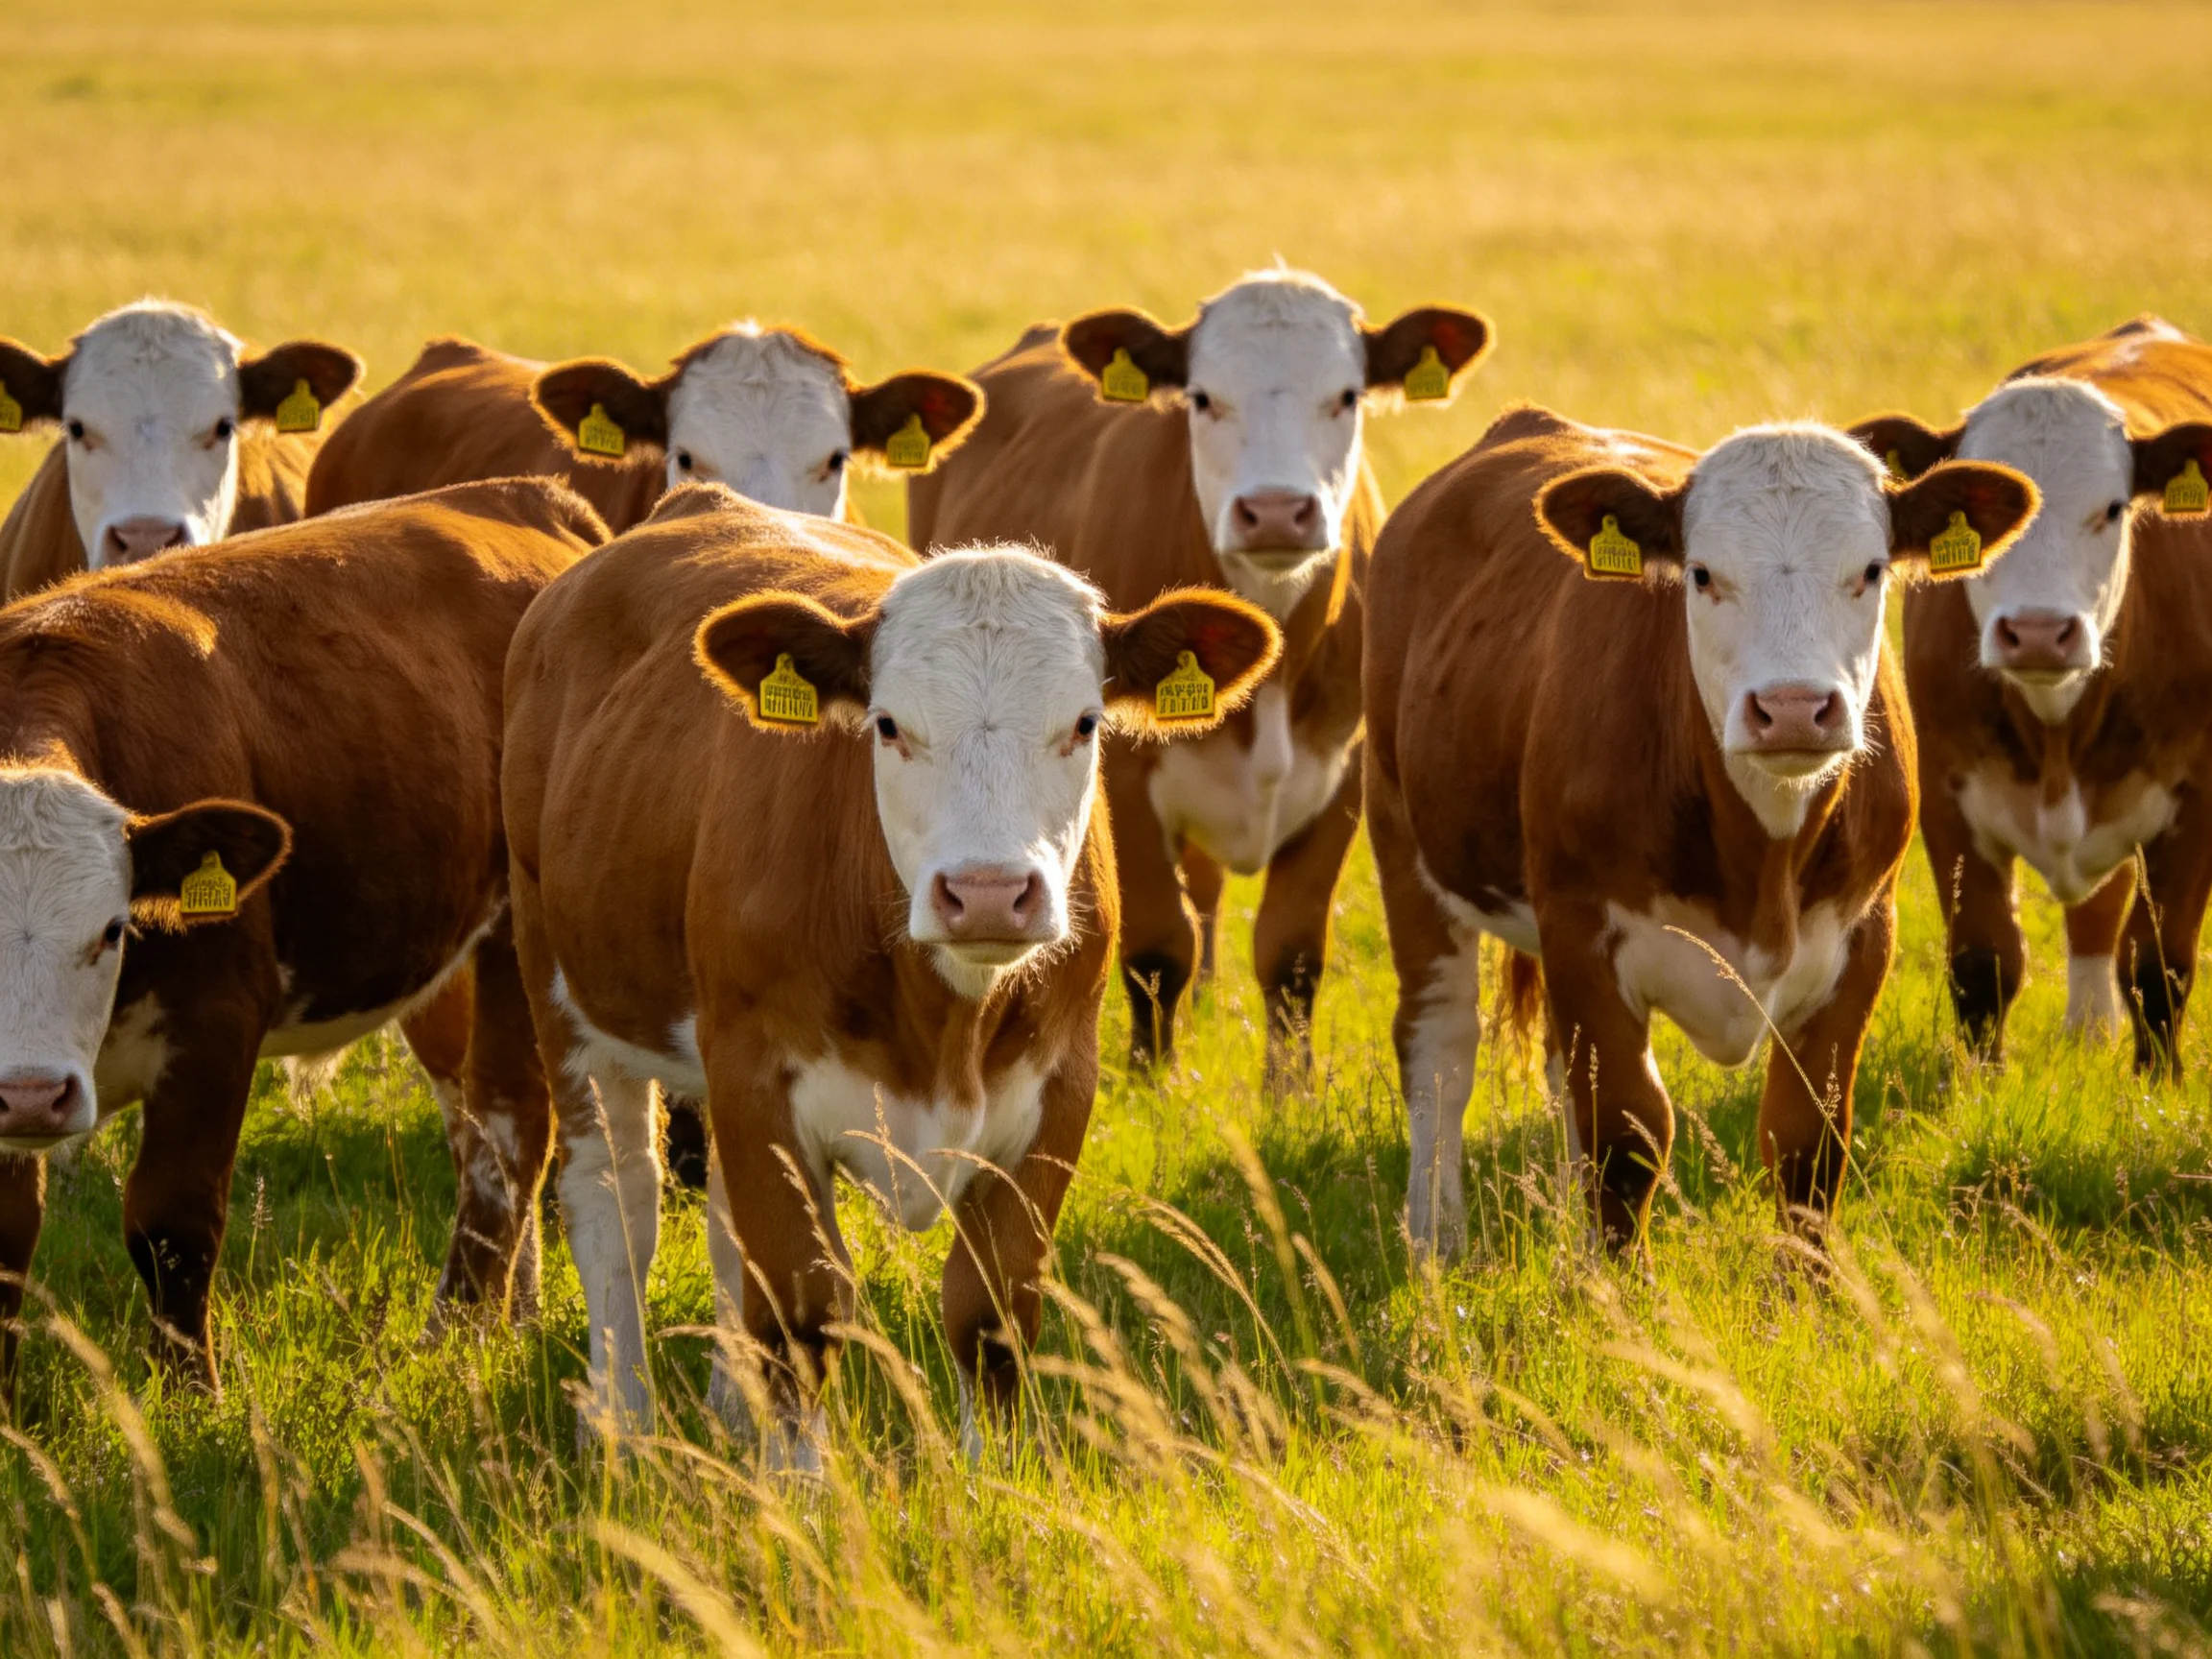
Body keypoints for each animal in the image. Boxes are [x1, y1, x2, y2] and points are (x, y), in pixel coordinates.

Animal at [0, 478, 606, 1390]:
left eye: (113, 929)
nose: (35, 1095)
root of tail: (530, 498)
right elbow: (9, 1238)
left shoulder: (217, 1022)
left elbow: (172, 1222)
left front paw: (191, 1392)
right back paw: (514, 1314)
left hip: (513, 936)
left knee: (507, 1130)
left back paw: (454, 1332)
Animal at [502, 483, 1278, 1460]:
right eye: (889, 724)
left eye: (1085, 722)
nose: (987, 895)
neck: (946, 1021)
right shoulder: (758, 1074)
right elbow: (801, 1313)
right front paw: (802, 1485)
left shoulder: (1061, 1086)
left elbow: (990, 1313)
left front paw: (996, 1479)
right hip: (560, 991)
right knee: (616, 1205)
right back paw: (620, 1423)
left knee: (717, 1223)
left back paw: (726, 1408)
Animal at [909, 269, 1493, 1088]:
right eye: (1204, 397)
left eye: (1347, 396)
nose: (1275, 511)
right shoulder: (1126, 775)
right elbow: (1159, 944)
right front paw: (1154, 1082)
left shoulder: (1343, 774)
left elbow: (1291, 951)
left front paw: (1289, 1090)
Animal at [1366, 406, 2037, 1258]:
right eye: (1703, 574)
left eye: (1872, 570)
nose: (1792, 708)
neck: (1762, 855)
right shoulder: (1583, 928)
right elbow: (1627, 1136)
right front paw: (1626, 1289)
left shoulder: (1865, 934)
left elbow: (1807, 1142)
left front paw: (1806, 1287)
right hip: (1402, 836)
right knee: (1440, 1047)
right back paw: (1436, 1240)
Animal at [1849, 318, 2212, 1071]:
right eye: (1987, 526)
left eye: (2113, 510)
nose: (2040, 633)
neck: (2056, 727)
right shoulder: (1948, 789)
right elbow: (1983, 962)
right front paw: (1981, 1082)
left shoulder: (2197, 801)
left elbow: (2160, 967)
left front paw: (2157, 1086)